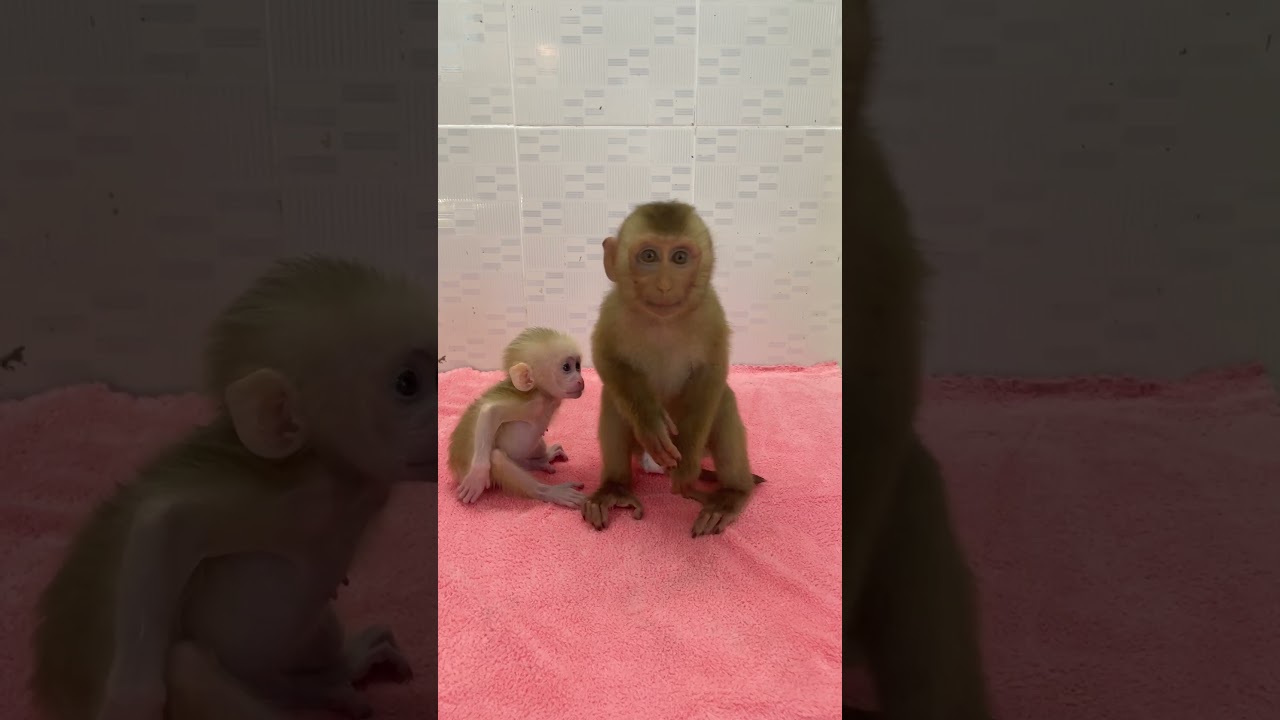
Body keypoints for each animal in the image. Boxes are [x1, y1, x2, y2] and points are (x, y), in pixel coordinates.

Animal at [29, 255, 433, 720]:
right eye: (407, 383)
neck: (349, 481)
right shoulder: (302, 498)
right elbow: (164, 523)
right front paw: (131, 702)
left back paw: (334, 677)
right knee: (187, 668)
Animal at [446, 326, 588, 509]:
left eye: (577, 366)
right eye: (566, 367)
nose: (580, 380)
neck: (547, 397)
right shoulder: (532, 403)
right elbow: (489, 411)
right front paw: (477, 474)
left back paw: (540, 460)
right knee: (497, 458)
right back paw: (550, 491)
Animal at [583, 200, 759, 538]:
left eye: (679, 258)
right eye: (649, 256)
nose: (664, 285)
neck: (662, 322)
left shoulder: (711, 311)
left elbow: (711, 372)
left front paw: (687, 465)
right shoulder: (613, 308)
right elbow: (606, 357)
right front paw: (651, 422)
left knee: (724, 400)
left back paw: (731, 494)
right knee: (611, 399)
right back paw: (615, 488)